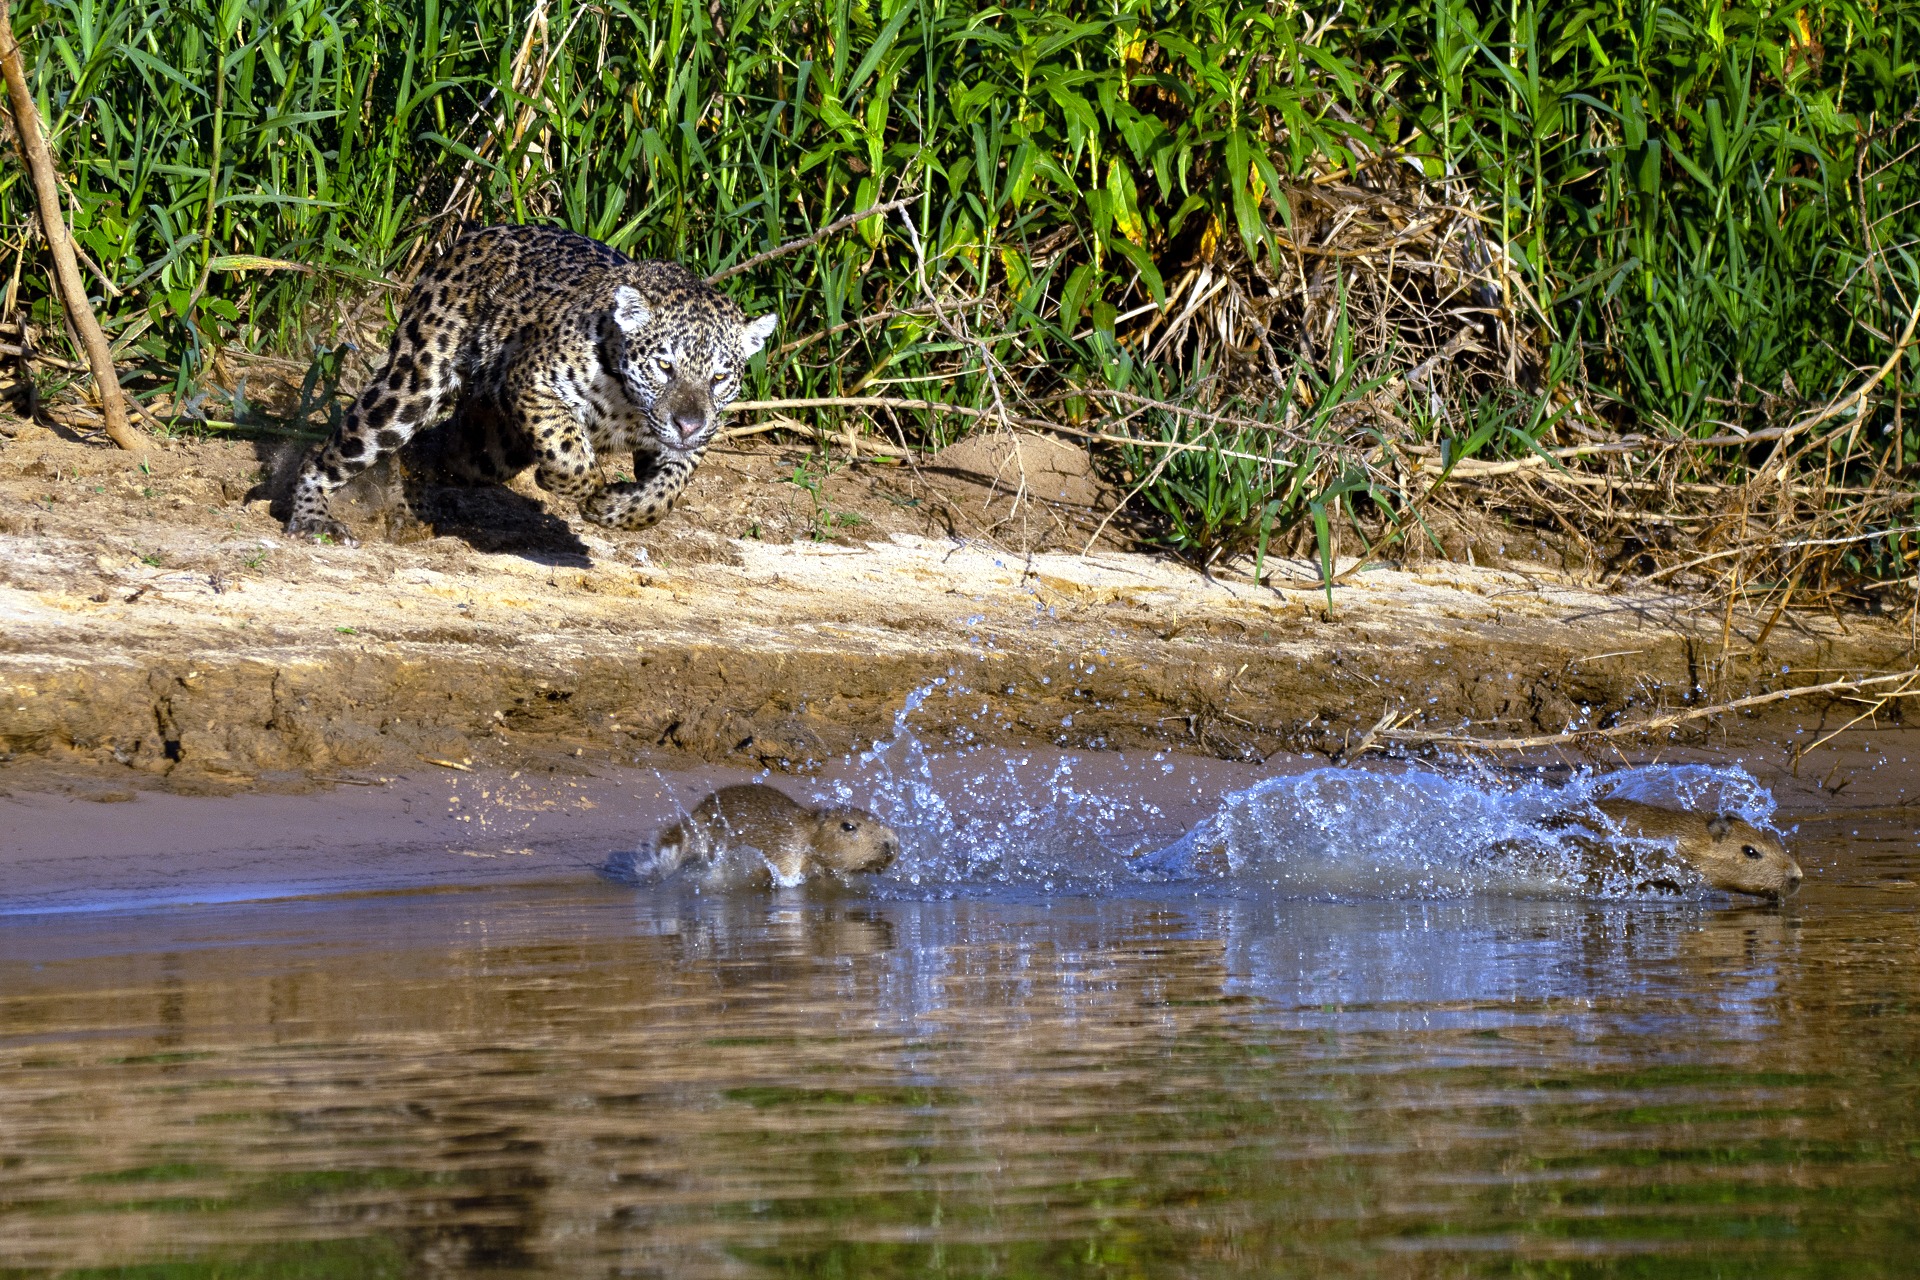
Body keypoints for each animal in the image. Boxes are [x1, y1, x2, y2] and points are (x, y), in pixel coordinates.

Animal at [284, 224, 776, 545]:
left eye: (719, 377)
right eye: (664, 365)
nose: (688, 424)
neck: (629, 407)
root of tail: (475, 234)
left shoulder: (688, 446)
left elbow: (665, 494)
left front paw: (615, 508)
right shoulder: (532, 380)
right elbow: (567, 450)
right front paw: (580, 487)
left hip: (487, 451)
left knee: (431, 452)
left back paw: (409, 503)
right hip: (412, 385)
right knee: (331, 453)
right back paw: (314, 520)